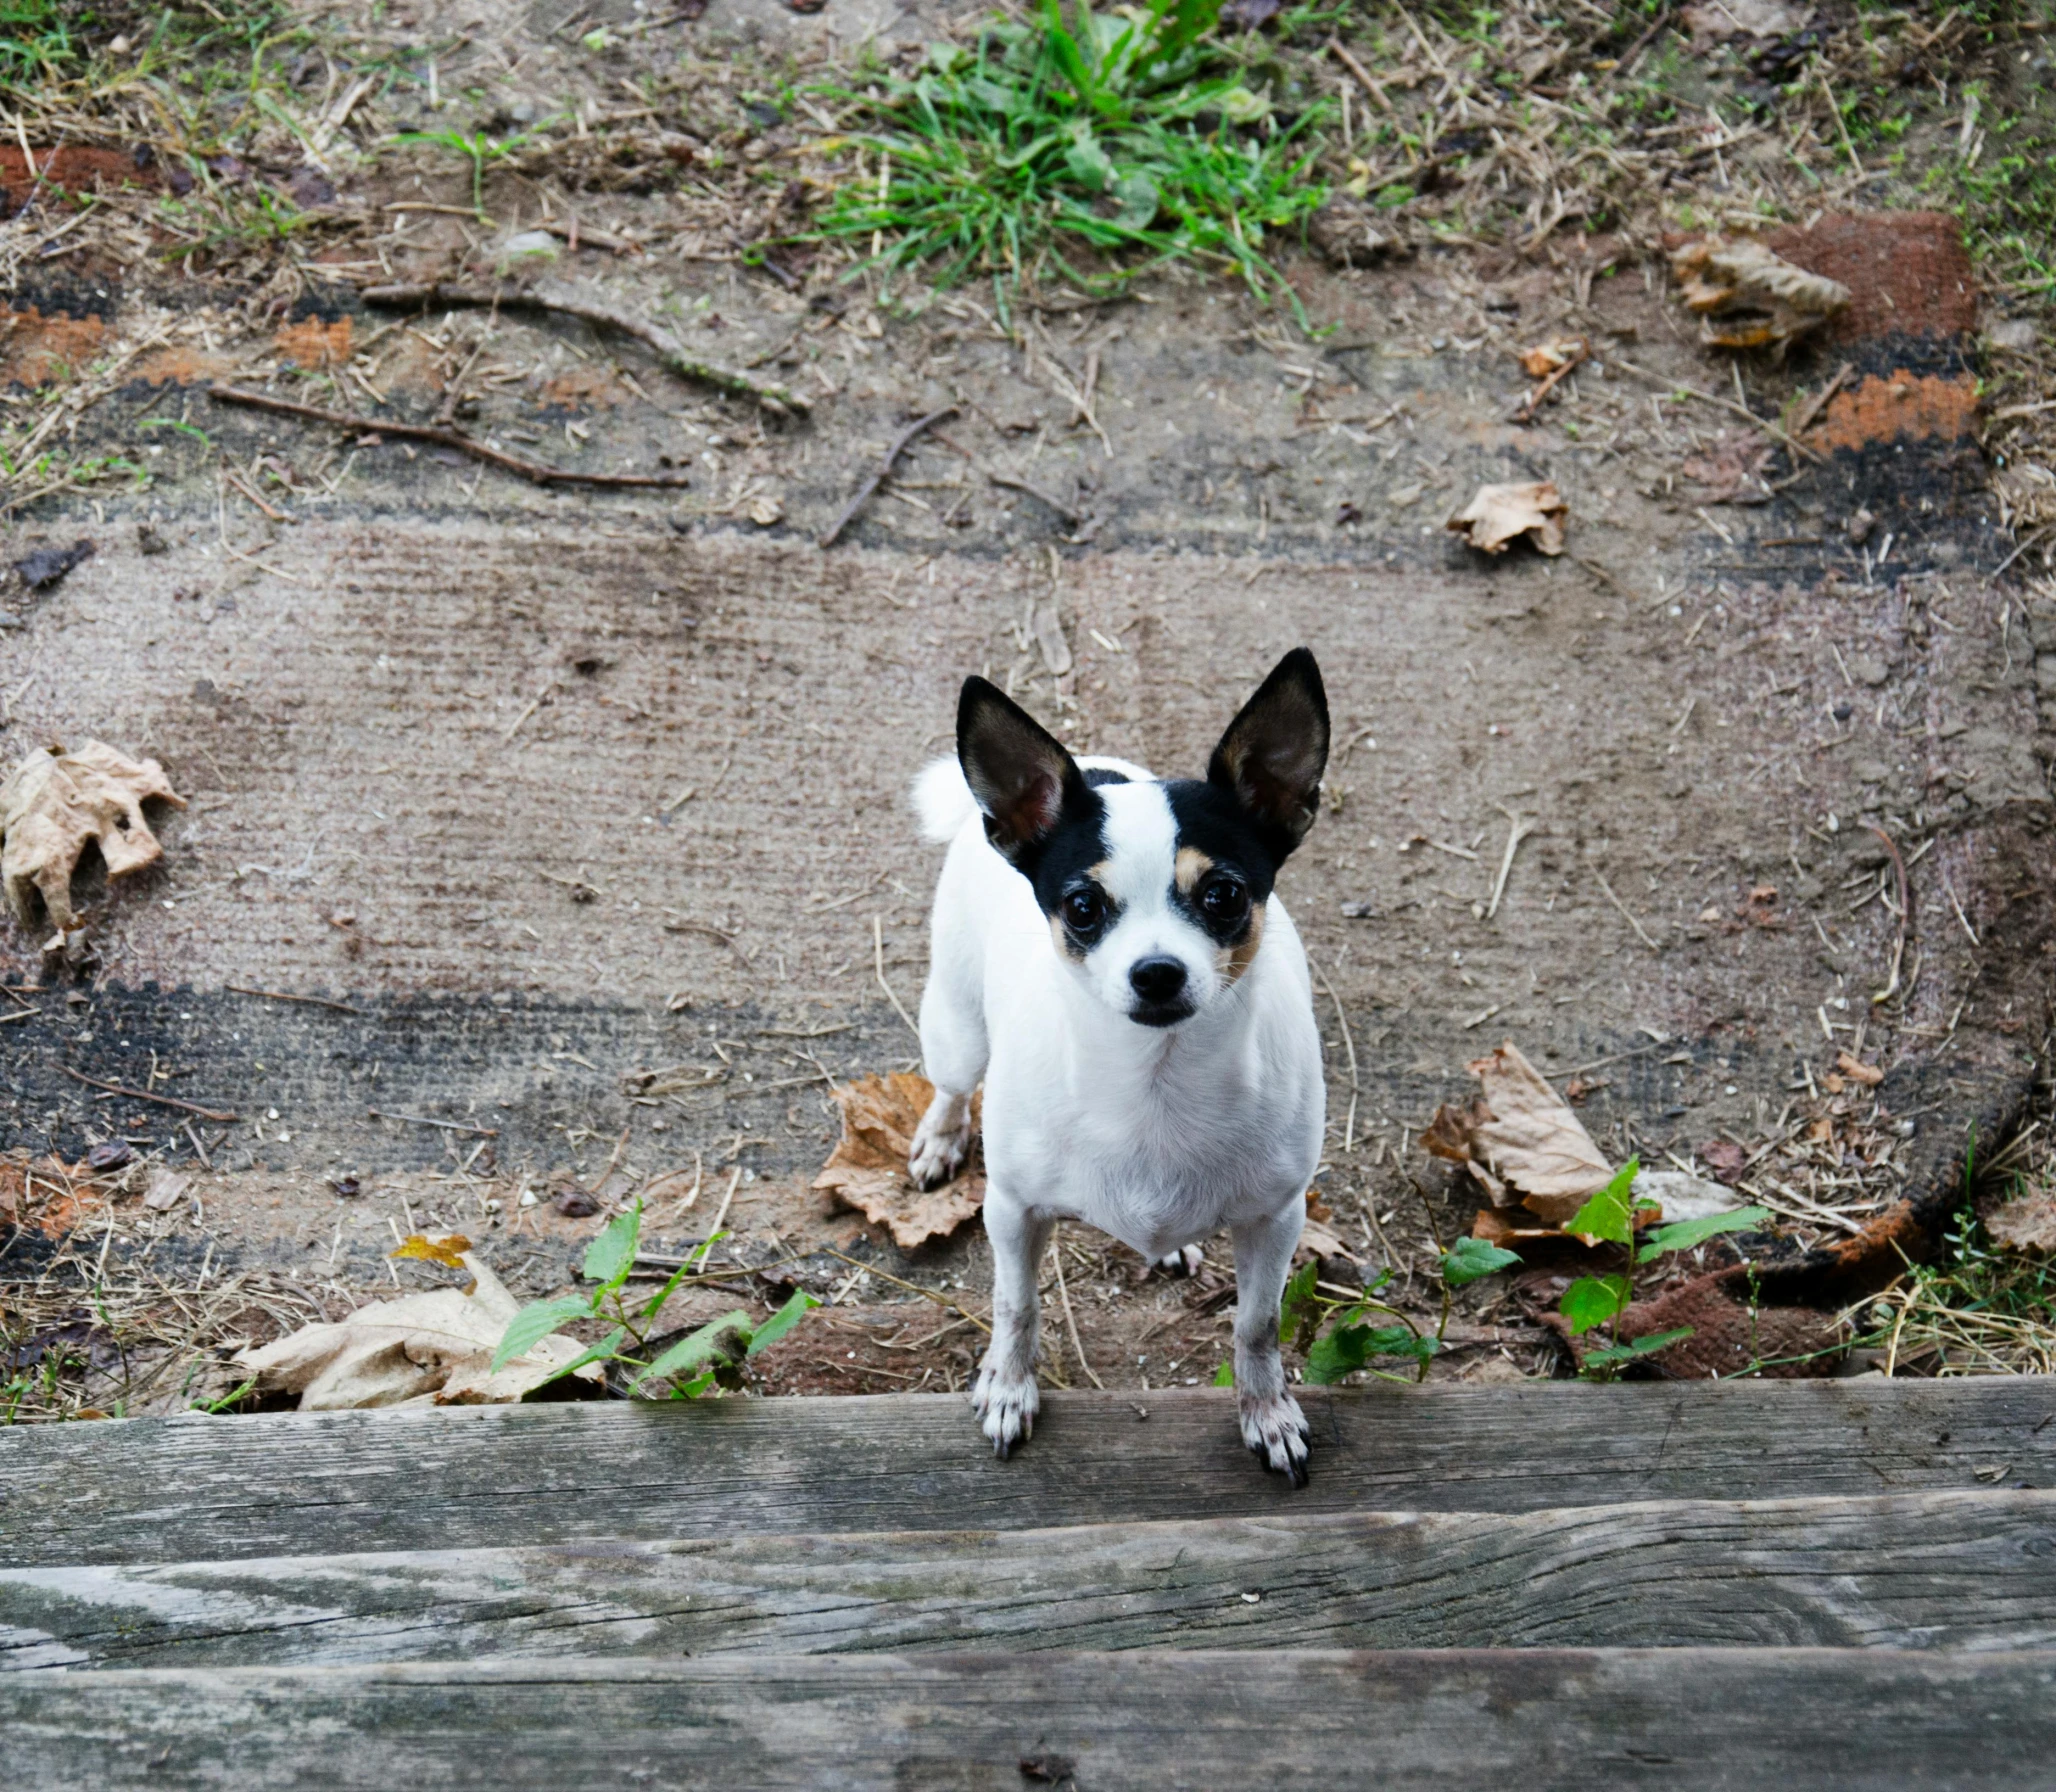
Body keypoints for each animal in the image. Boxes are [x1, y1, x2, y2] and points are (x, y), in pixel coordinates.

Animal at [904, 649, 1324, 1479]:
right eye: (1082, 907)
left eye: (1224, 895)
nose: (1156, 972)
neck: (1152, 1084)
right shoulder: (1012, 1211)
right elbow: (1016, 1305)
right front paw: (1008, 1387)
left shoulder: (1275, 1218)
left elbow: (1257, 1325)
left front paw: (1266, 1412)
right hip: (958, 1029)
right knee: (952, 1084)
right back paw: (940, 1136)